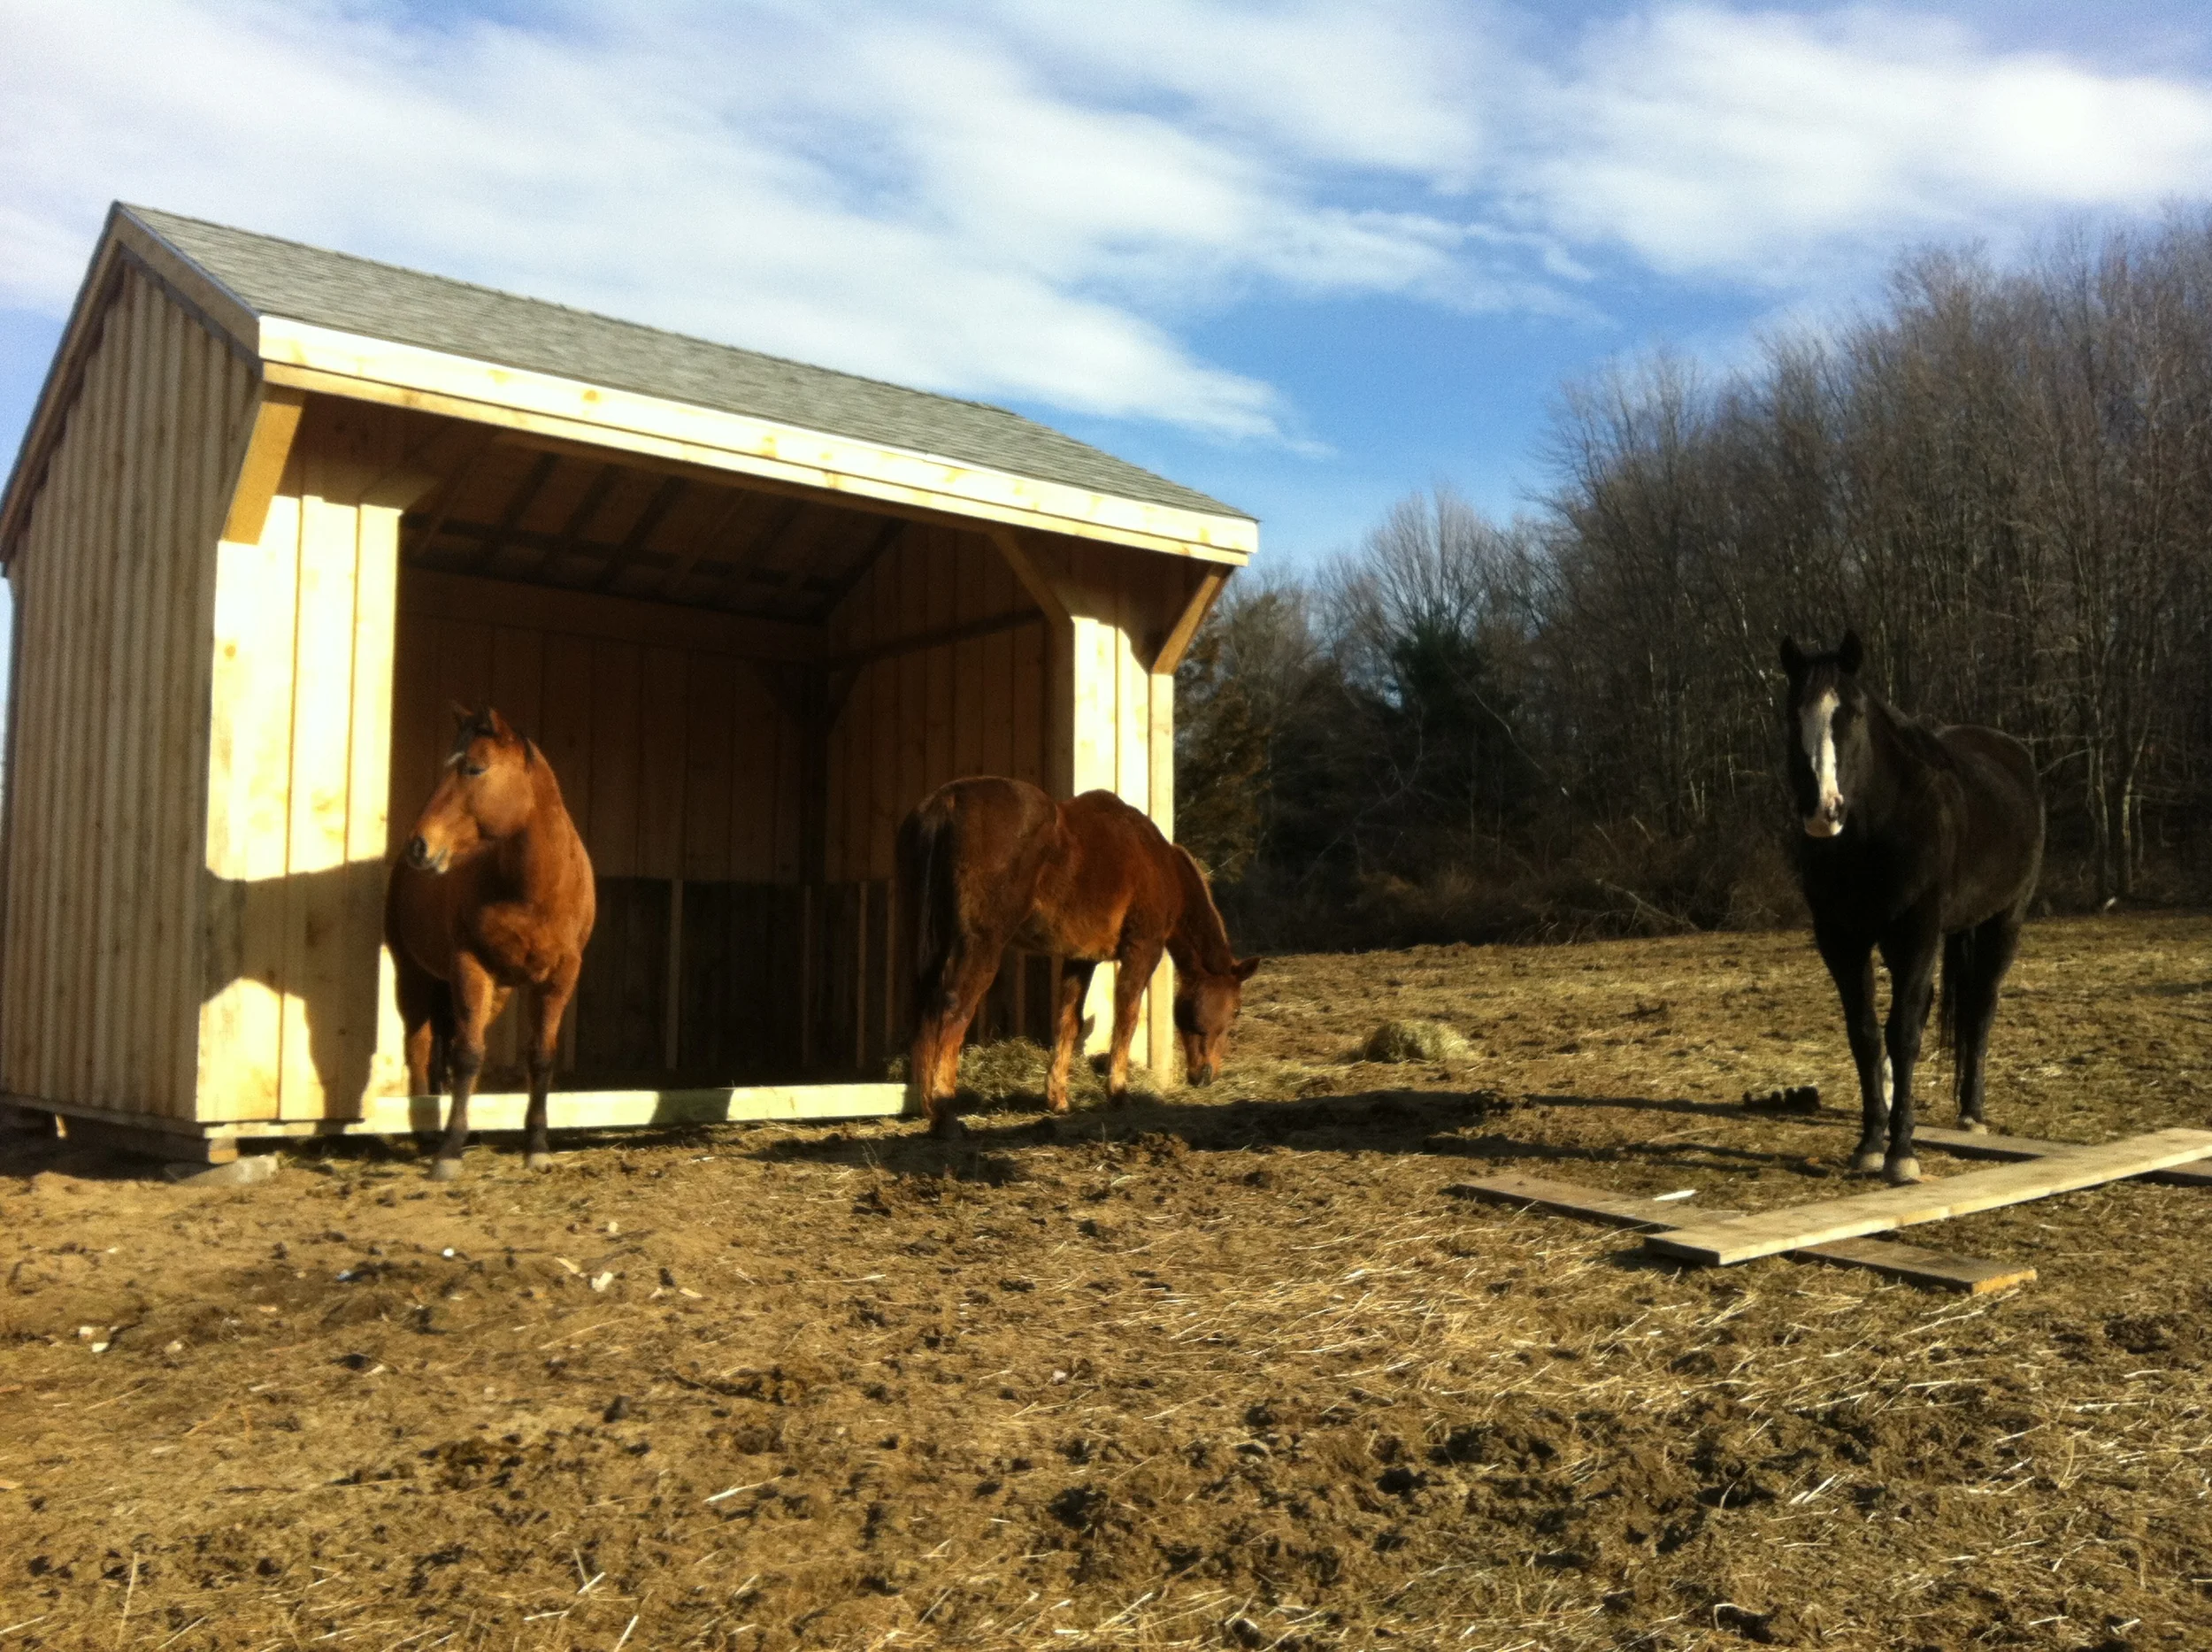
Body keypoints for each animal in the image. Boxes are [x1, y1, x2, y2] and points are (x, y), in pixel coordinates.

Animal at [385, 706, 596, 1179]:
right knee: (420, 1046)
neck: (533, 890)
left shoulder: (560, 976)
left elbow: (540, 1055)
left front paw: (536, 1144)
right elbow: (467, 1054)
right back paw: (428, 1134)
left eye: (475, 768)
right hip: (413, 974)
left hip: (494, 991)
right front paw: (449, 1152)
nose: (419, 846)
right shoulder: (469, 965)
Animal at [899, 777, 1258, 1137]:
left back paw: (930, 1109)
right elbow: (1126, 1016)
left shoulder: (1080, 959)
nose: (1206, 1076)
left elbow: (1069, 1021)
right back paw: (946, 1115)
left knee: (925, 1009)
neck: (1160, 865)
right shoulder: (1143, 950)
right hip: (980, 946)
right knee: (954, 1010)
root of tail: (947, 802)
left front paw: (1058, 1098)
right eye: (1236, 1010)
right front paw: (1118, 1092)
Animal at [1778, 631, 2044, 1184]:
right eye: (1793, 715)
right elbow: (1865, 1035)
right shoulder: (1842, 940)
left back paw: (1972, 1112)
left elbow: (1901, 1034)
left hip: (2003, 921)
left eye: (1853, 714)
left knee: (1981, 1007)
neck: (1875, 829)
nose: (1823, 811)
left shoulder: (1918, 931)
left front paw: (1901, 1153)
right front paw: (1869, 1143)